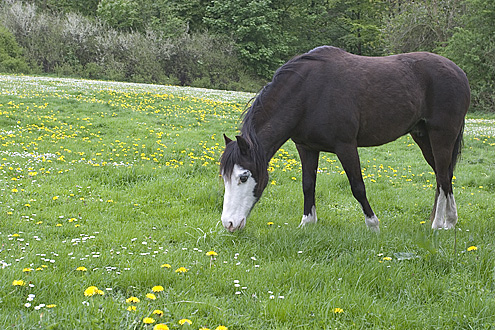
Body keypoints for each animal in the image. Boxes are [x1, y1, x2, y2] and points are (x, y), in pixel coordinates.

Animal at [219, 45, 470, 232]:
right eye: (224, 177)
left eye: (244, 177)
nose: (229, 224)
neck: (308, 93)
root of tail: (458, 72)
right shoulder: (306, 147)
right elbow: (308, 184)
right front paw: (307, 223)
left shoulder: (346, 146)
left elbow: (357, 186)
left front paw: (373, 225)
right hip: (423, 136)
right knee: (443, 175)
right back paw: (447, 221)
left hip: (441, 136)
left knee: (443, 176)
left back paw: (439, 224)